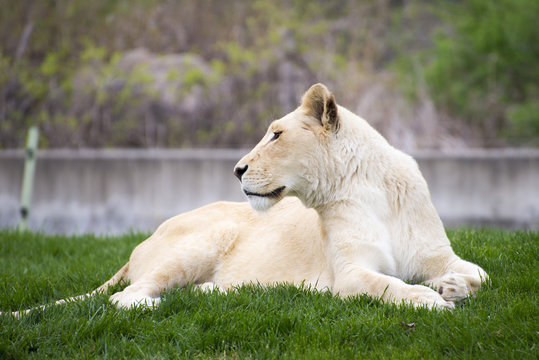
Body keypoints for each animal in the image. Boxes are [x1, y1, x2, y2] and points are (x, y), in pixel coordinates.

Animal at [6, 83, 488, 316]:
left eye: (276, 134)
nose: (236, 169)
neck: (367, 190)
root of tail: (137, 247)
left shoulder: (436, 253)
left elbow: (480, 275)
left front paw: (451, 286)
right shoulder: (348, 276)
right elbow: (386, 284)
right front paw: (431, 300)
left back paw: (213, 292)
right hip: (207, 235)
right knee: (125, 296)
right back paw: (157, 302)